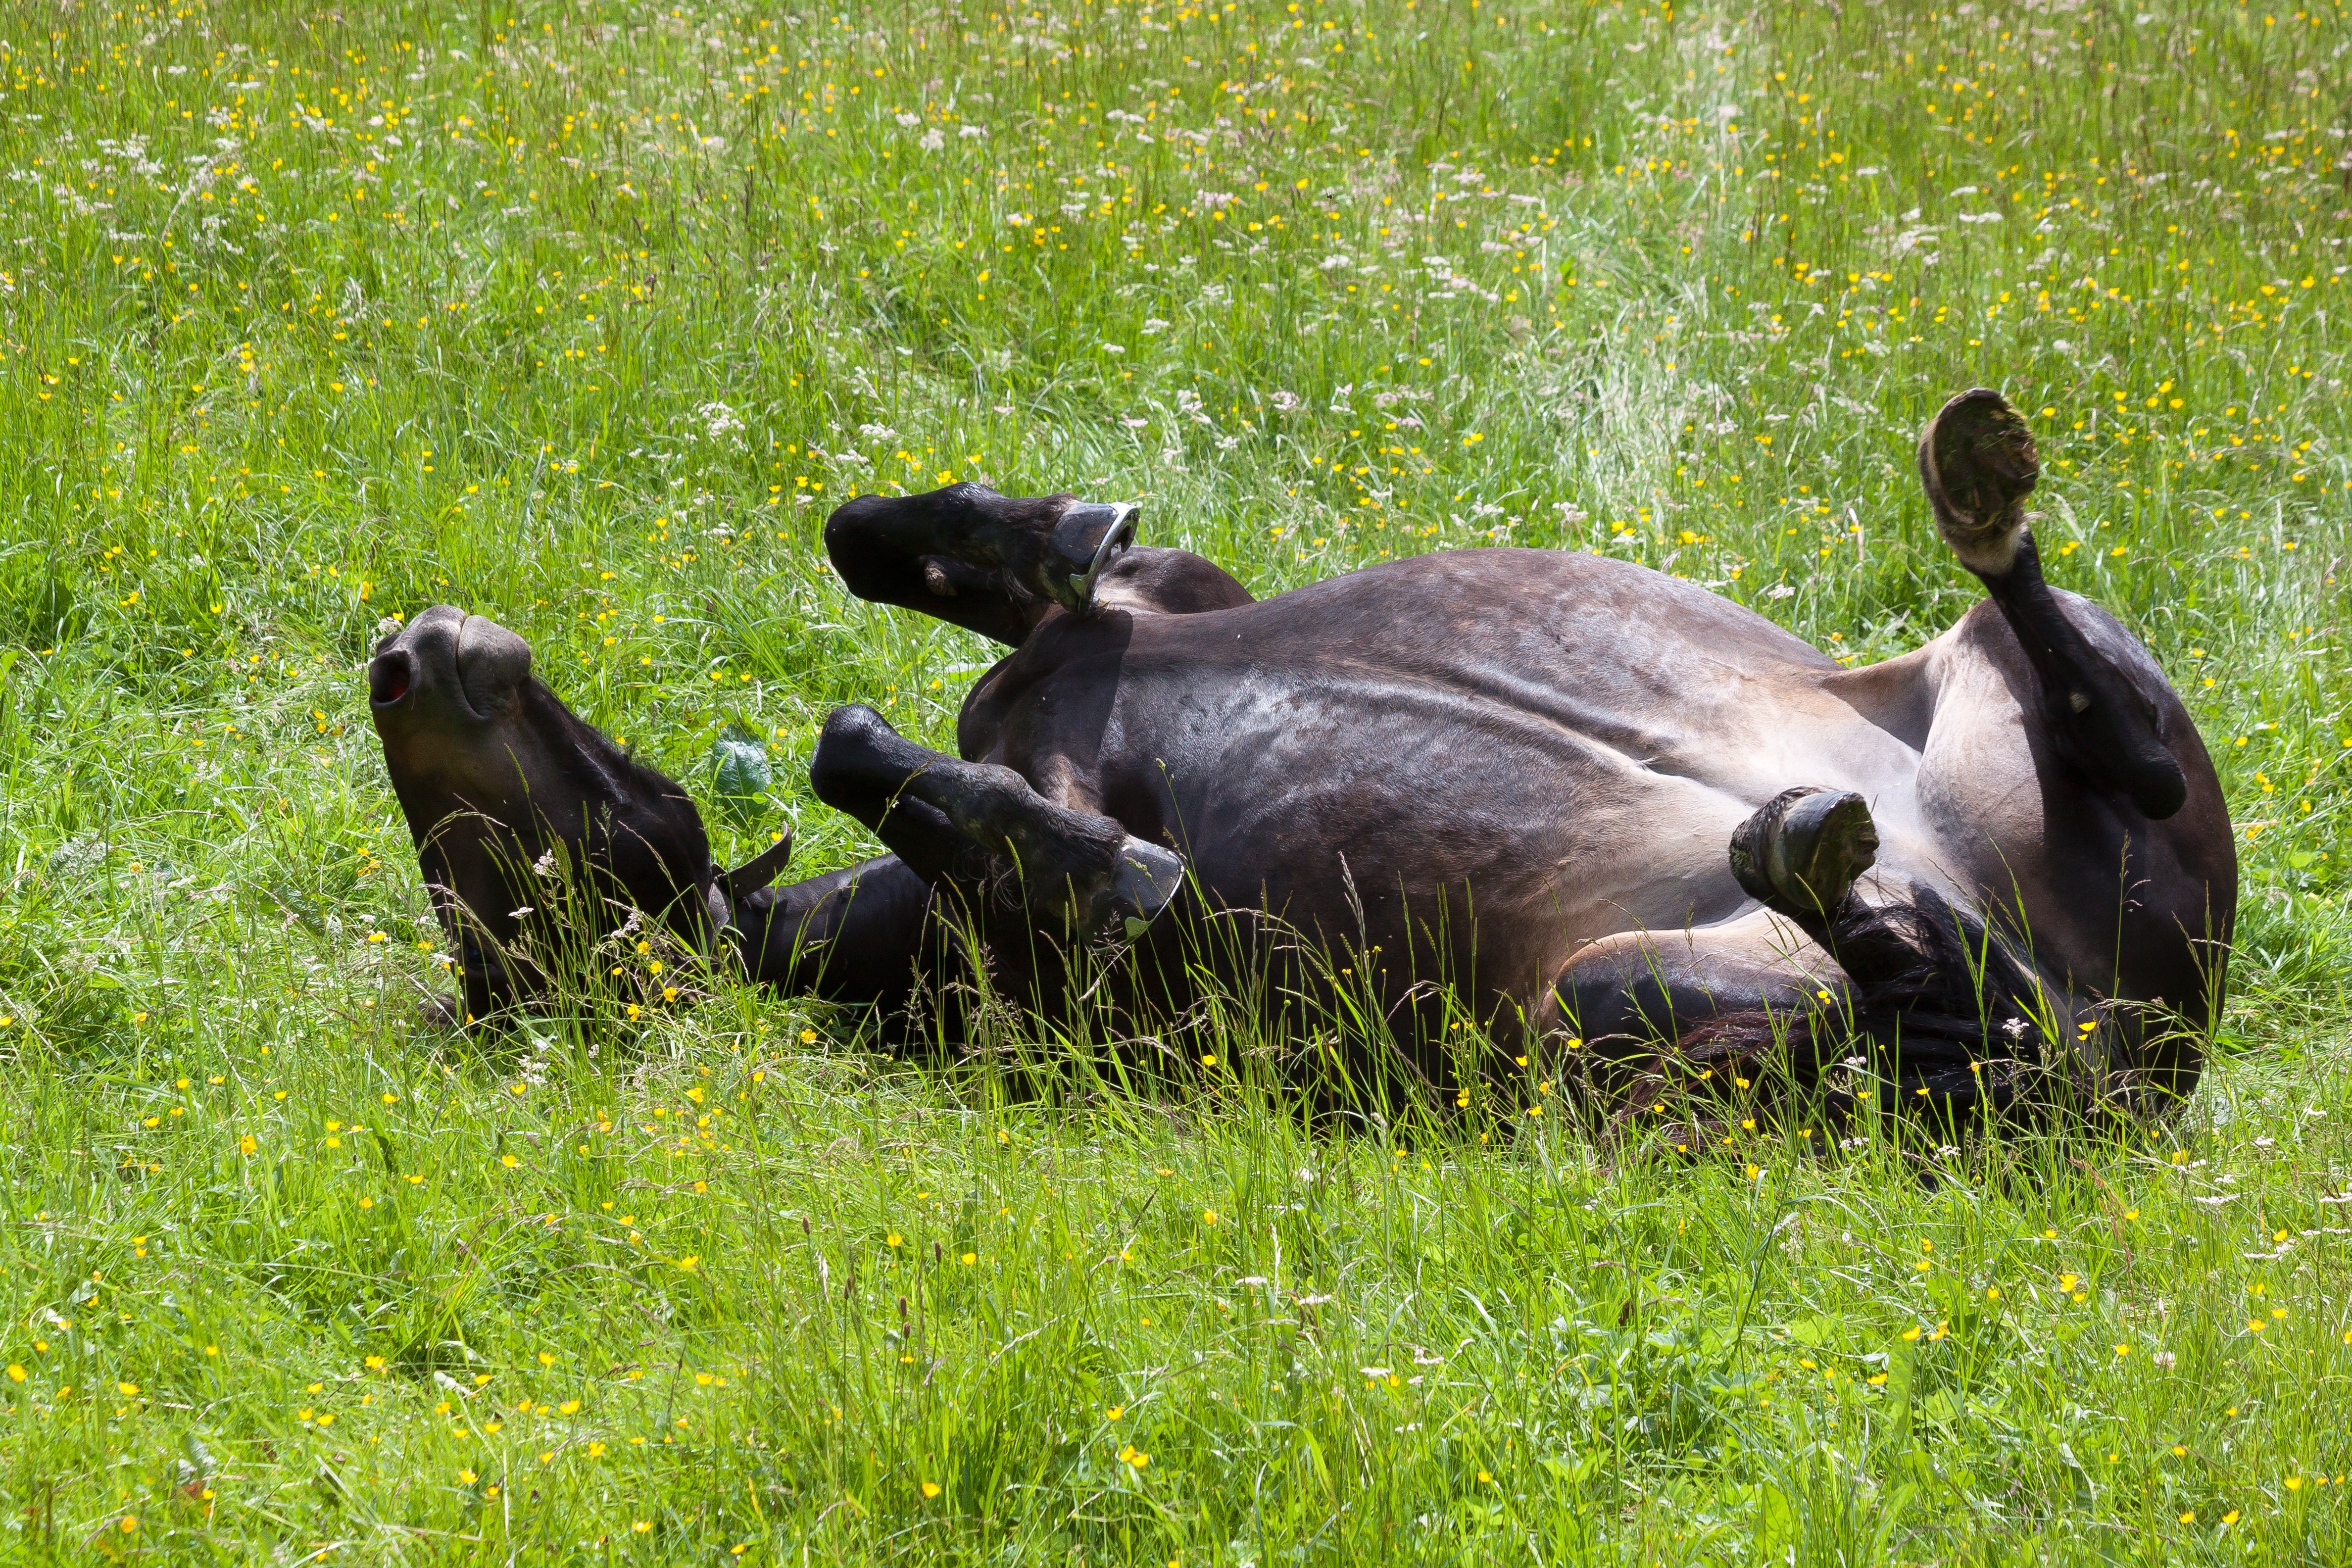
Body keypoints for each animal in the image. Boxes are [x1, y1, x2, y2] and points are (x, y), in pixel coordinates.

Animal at [371, 392, 2239, 1128]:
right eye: (496, 913)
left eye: (507, 857)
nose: (412, 650)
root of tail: (2133, 1050)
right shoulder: (1069, 1004)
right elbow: (898, 764)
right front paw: (1098, 862)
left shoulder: (1171, 602)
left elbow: (878, 550)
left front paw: (1048, 525)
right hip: (1605, 1023)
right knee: (1941, 1014)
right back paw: (1825, 859)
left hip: (2010, 718)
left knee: (2095, 725)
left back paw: (1975, 493)